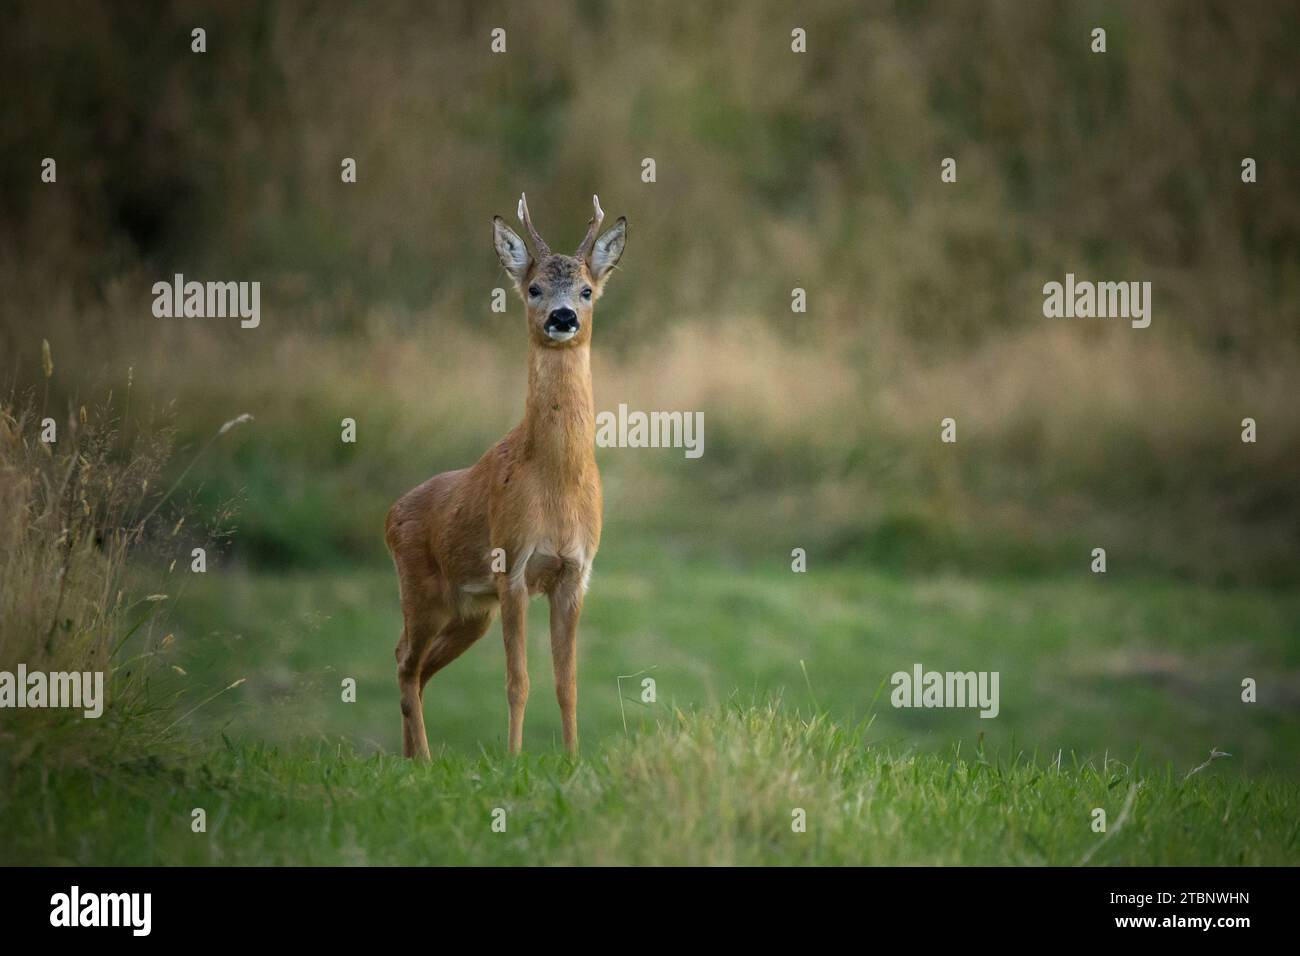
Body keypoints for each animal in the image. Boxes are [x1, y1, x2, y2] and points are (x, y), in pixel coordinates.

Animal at [385, 194, 626, 759]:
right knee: (405, 659)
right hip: (424, 590)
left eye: (586, 289)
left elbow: (567, 681)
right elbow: (518, 680)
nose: (563, 317)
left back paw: (410, 759)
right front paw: (514, 759)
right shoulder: (511, 565)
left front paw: (572, 757)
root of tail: (390, 514)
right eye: (534, 288)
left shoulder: (575, 573)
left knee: (415, 666)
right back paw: (422, 759)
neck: (555, 483)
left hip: (471, 611)